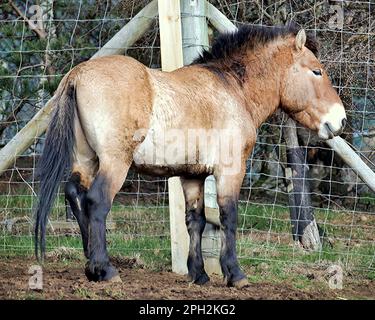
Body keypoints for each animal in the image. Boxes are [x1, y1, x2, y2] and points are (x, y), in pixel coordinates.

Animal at [34, 25, 346, 288]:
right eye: (316, 71)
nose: (340, 120)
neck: (233, 89)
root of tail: (79, 74)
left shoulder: (191, 176)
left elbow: (195, 221)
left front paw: (199, 274)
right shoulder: (230, 171)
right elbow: (229, 216)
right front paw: (235, 274)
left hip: (86, 160)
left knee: (75, 194)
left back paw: (90, 266)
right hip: (114, 163)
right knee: (96, 202)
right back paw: (105, 269)